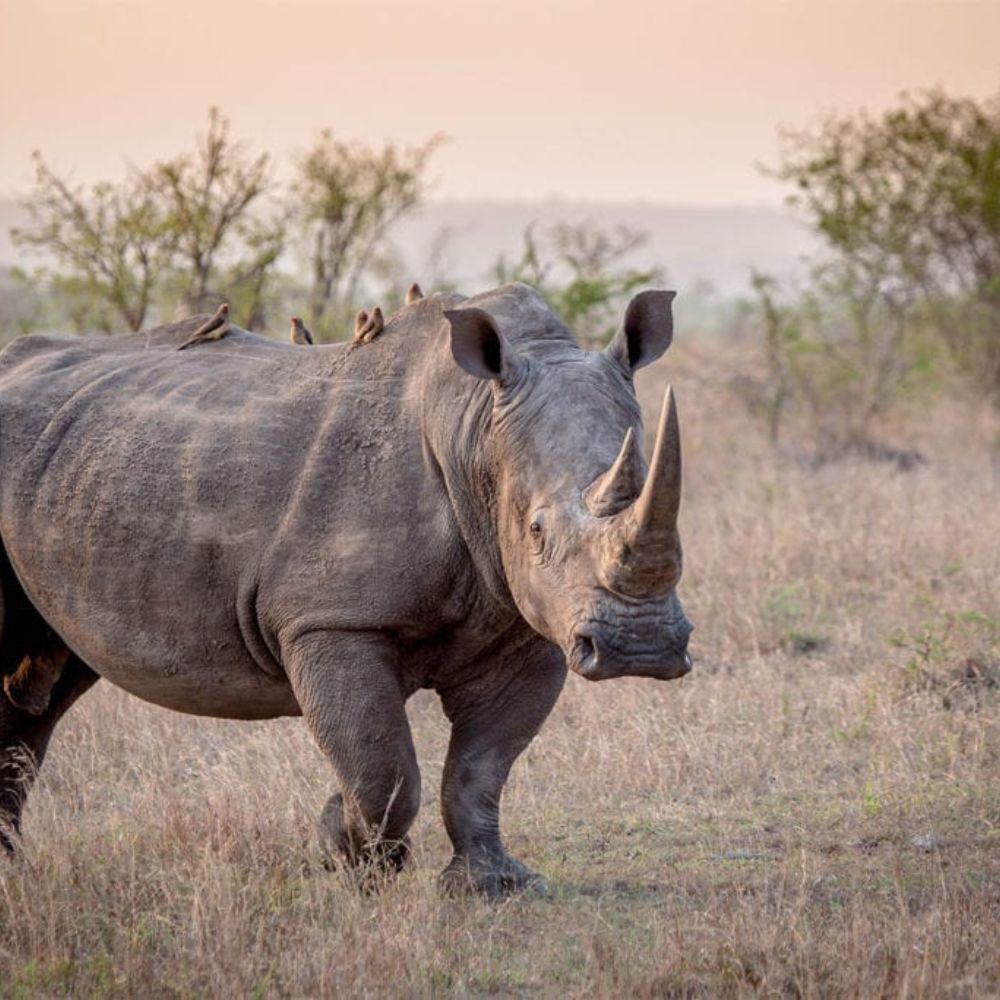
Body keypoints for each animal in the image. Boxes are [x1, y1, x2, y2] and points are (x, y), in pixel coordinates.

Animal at [0, 283, 692, 896]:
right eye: (537, 529)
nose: (641, 649)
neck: (474, 427)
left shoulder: (528, 624)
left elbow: (482, 768)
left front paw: (492, 885)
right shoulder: (330, 619)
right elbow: (381, 764)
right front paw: (349, 854)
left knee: (44, 685)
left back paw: (14, 874)